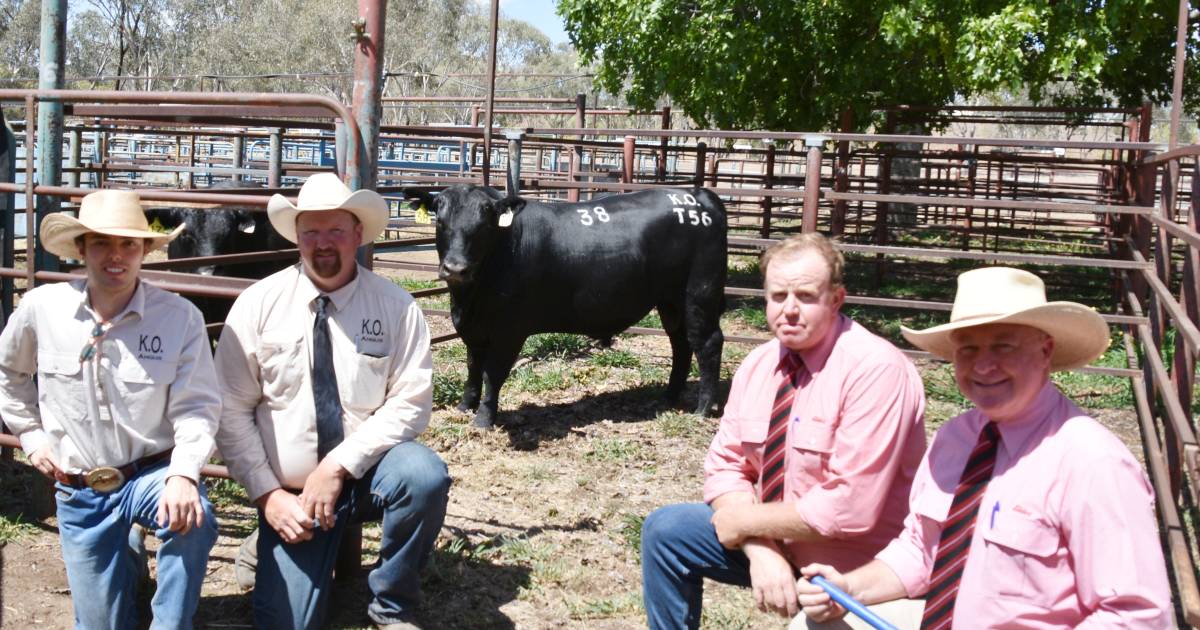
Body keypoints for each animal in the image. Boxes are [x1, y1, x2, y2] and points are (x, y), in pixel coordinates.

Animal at [403, 181, 724, 427]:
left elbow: (492, 373)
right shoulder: (475, 330)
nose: (456, 268)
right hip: (670, 302)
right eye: (441, 222)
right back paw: (669, 396)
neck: (469, 300)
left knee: (707, 342)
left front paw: (483, 419)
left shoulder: (509, 331)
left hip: (699, 292)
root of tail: (697, 195)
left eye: (484, 225)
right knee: (681, 343)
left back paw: (703, 408)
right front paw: (464, 406)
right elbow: (472, 367)